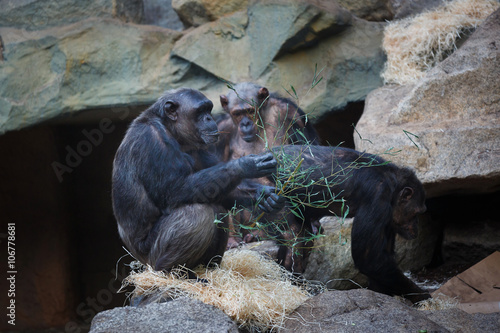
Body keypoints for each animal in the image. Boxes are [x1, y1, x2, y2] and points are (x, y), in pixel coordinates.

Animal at [114, 88, 286, 272]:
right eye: (199, 111)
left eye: (208, 109)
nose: (210, 118)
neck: (170, 129)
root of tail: (141, 262)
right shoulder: (151, 140)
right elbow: (174, 190)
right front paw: (245, 165)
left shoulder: (197, 147)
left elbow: (217, 189)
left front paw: (266, 196)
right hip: (150, 256)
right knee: (198, 212)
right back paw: (171, 271)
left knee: (218, 209)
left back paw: (208, 268)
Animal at [272, 144, 432, 302]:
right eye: (417, 213)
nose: (416, 225)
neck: (392, 185)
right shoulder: (378, 197)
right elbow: (369, 258)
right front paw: (421, 294)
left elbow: (382, 257)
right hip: (274, 192)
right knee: (292, 236)